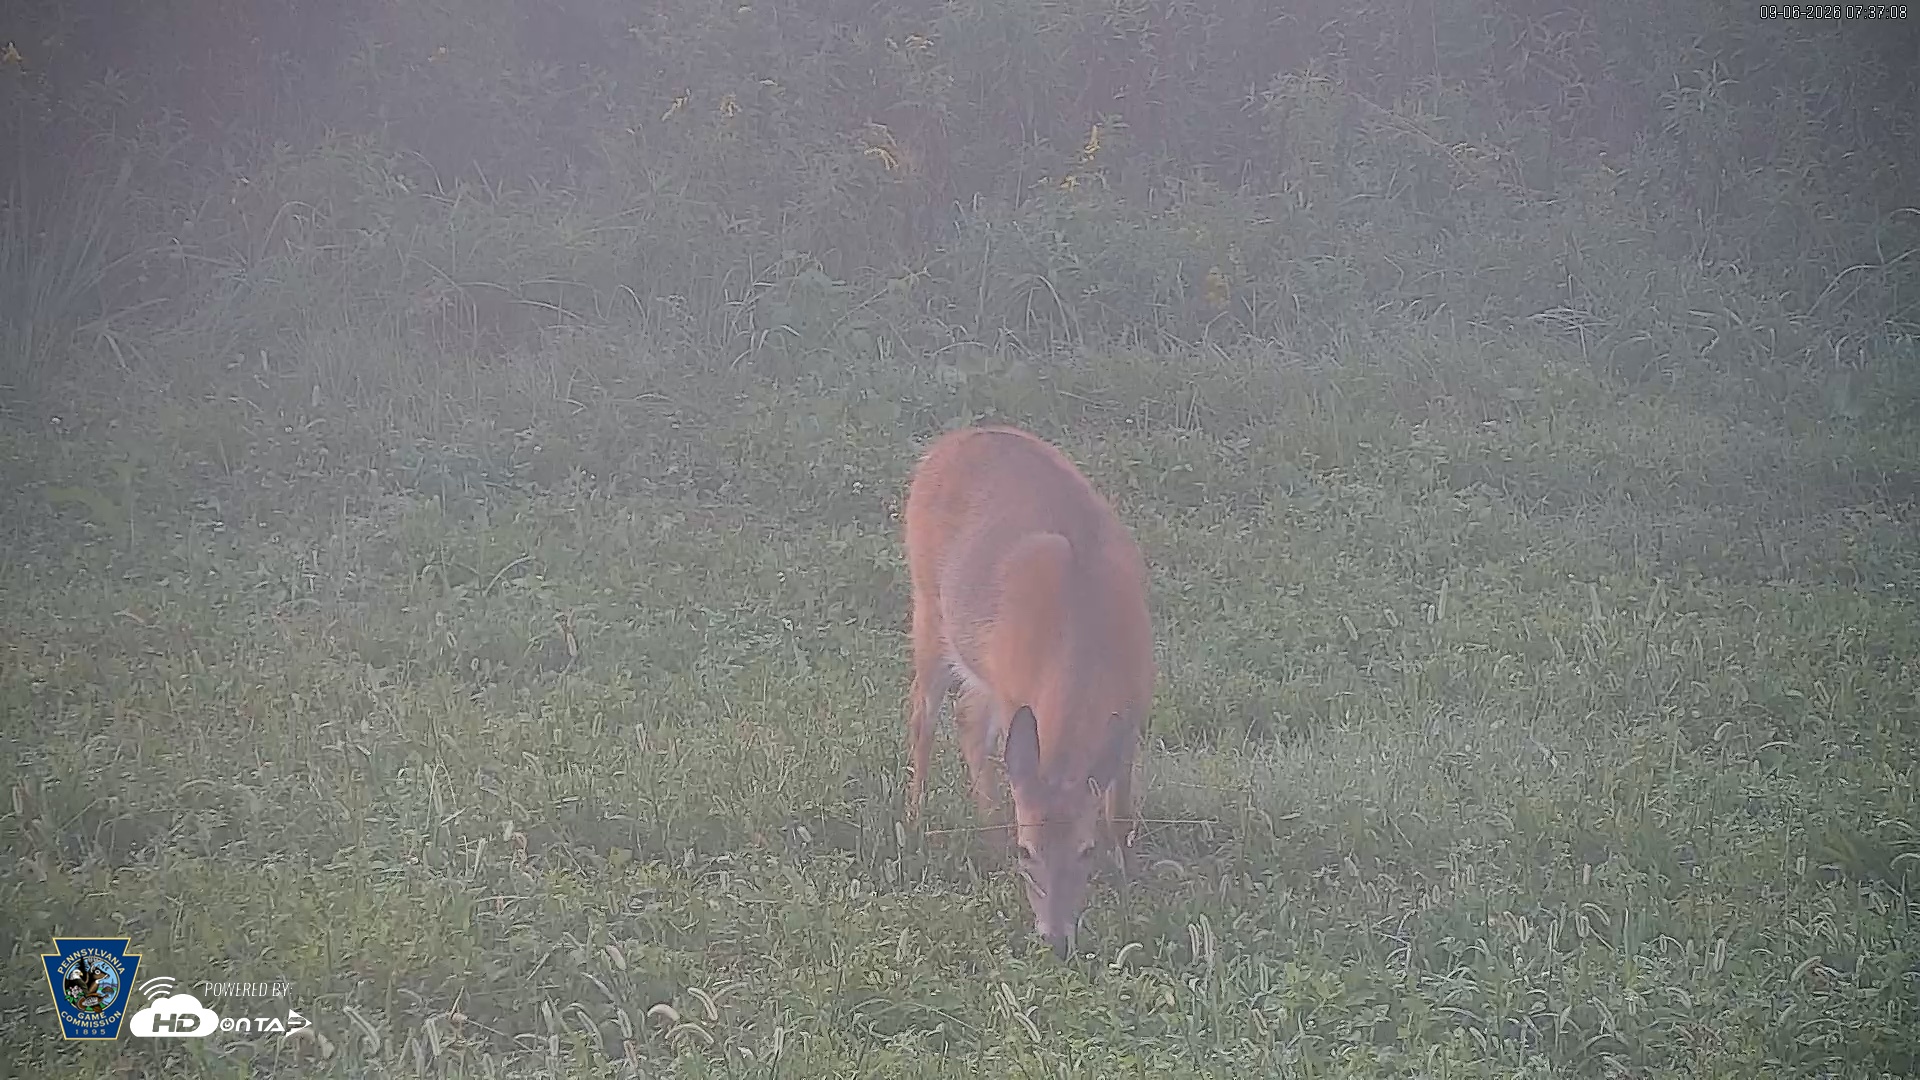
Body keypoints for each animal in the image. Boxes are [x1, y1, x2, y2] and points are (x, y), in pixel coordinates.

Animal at [902, 425, 1155, 958]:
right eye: (1028, 851)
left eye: (1085, 850)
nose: (1056, 939)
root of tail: (951, 440)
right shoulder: (1014, 690)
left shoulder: (1135, 704)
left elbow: (1120, 805)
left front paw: (1127, 872)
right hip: (929, 606)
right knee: (925, 713)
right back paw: (915, 818)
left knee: (965, 719)